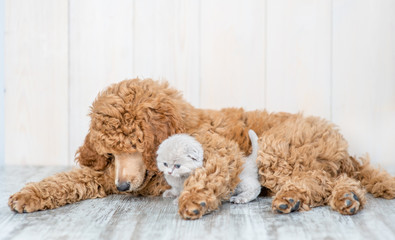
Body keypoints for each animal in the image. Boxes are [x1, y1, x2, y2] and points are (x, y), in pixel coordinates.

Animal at [9, 78, 395, 219]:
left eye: (135, 144)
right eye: (110, 151)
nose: (122, 187)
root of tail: (340, 142)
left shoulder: (219, 152)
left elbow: (208, 173)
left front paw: (195, 200)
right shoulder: (105, 174)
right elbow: (68, 180)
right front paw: (30, 194)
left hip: (277, 151)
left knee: (317, 179)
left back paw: (297, 197)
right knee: (339, 180)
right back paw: (346, 198)